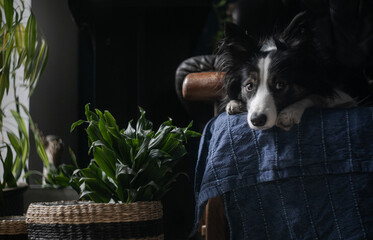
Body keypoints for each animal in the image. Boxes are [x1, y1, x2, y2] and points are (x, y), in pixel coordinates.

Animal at [217, 11, 370, 130]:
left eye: (280, 84)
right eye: (249, 86)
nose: (257, 120)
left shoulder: (343, 95)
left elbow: (314, 96)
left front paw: (289, 113)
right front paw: (235, 103)